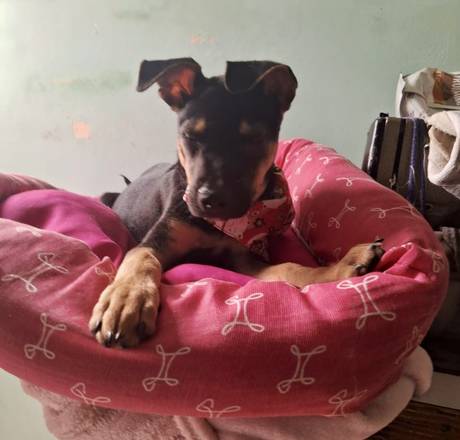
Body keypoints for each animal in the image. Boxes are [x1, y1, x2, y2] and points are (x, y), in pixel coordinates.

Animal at [89, 58, 384, 348]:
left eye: (252, 138)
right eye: (191, 136)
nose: (212, 200)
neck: (219, 226)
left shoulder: (244, 257)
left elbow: (288, 268)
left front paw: (341, 266)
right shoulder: (159, 238)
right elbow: (140, 257)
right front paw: (127, 300)